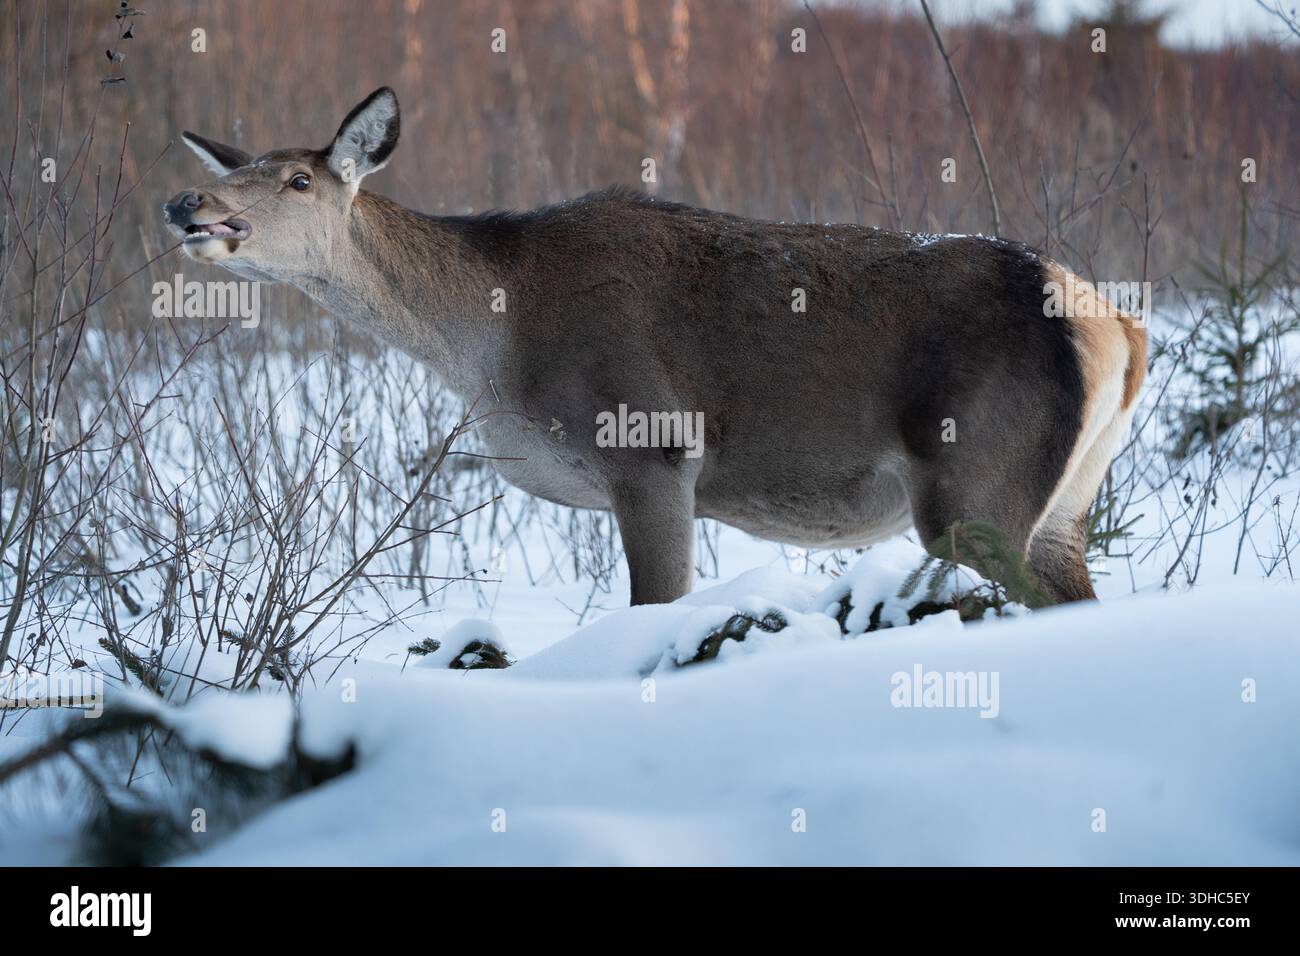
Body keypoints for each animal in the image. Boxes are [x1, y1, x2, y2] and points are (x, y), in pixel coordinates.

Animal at [164, 88, 1147, 608]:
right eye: (234, 169)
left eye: (297, 179)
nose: (186, 203)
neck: (488, 346)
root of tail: (1118, 326)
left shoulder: (652, 445)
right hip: (1065, 505)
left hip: (973, 482)